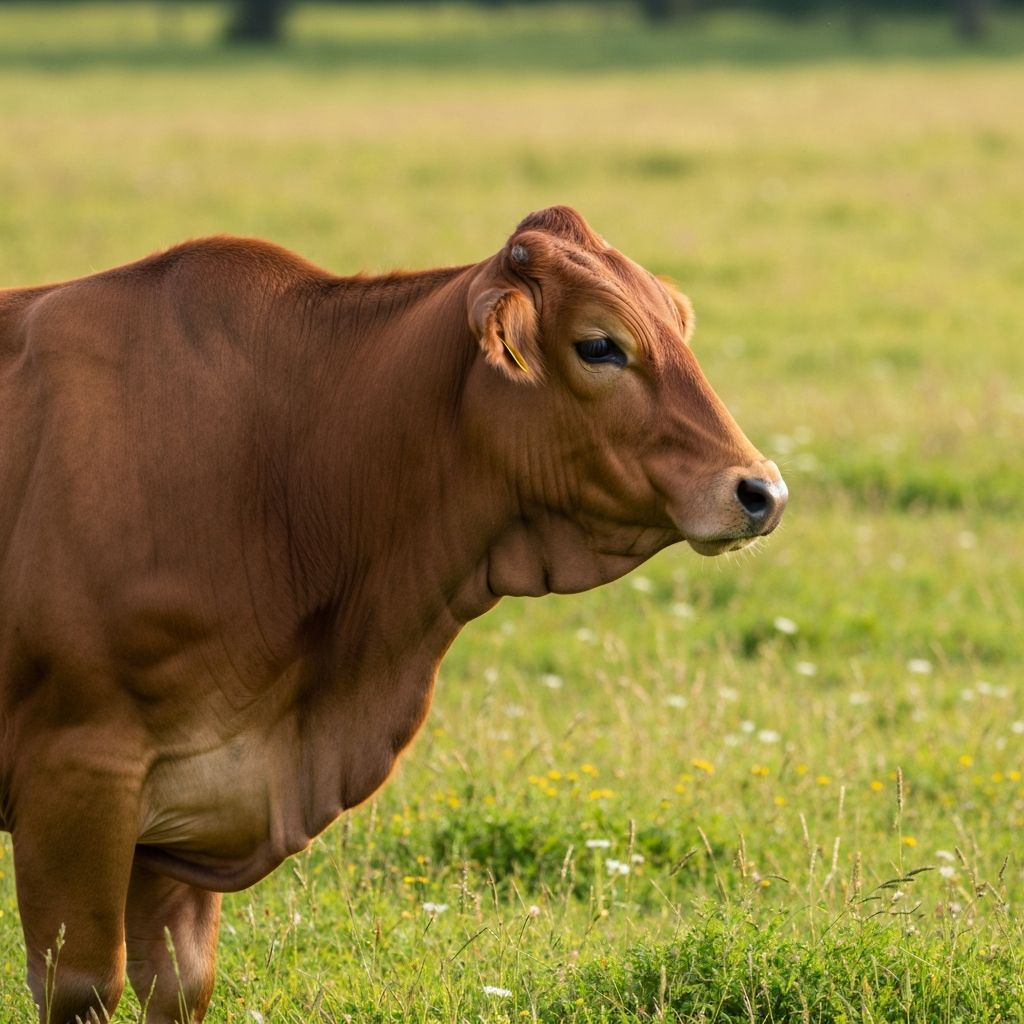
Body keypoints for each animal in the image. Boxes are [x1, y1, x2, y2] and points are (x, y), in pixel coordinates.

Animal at [0, 206, 786, 1023]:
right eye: (601, 344)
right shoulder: (78, 774)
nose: (762, 490)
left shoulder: (187, 803)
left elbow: (182, 983)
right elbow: (85, 984)